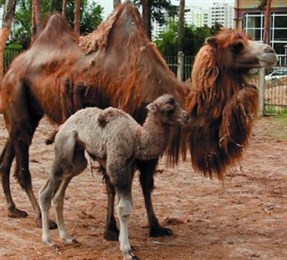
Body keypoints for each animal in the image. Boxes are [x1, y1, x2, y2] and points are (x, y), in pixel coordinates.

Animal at [38, 95, 191, 260]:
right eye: (169, 109)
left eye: (178, 104)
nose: (187, 116)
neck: (136, 138)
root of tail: (61, 127)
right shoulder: (118, 168)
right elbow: (124, 208)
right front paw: (127, 251)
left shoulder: (129, 169)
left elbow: (124, 205)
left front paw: (126, 245)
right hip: (64, 149)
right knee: (46, 192)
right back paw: (49, 241)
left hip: (77, 157)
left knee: (60, 192)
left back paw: (67, 237)